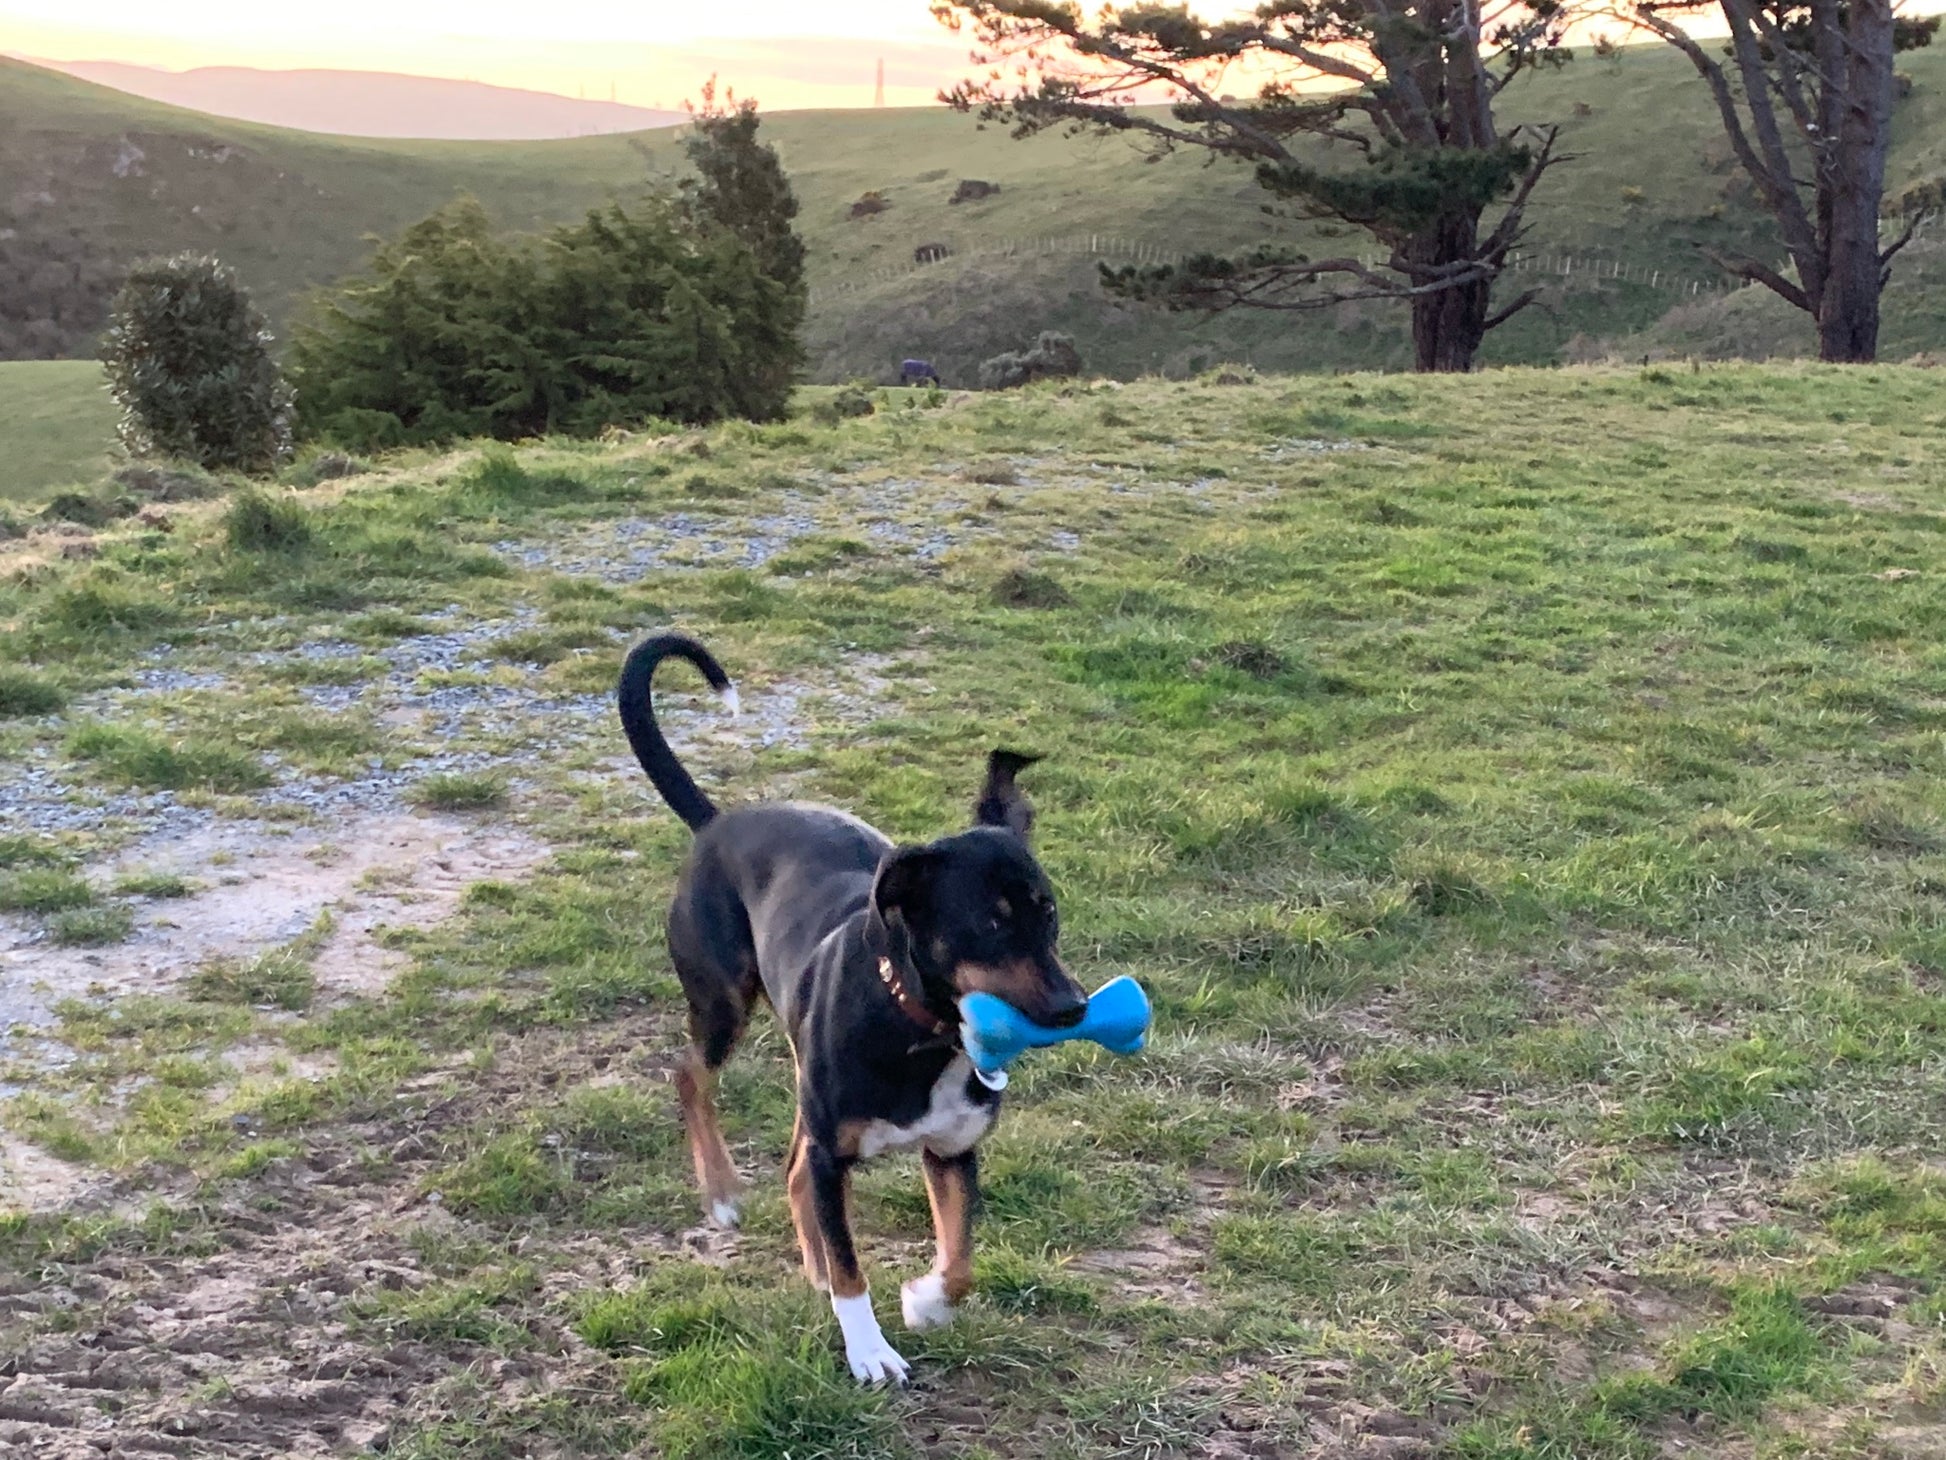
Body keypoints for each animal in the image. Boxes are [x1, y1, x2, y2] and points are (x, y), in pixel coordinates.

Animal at [614, 630, 1089, 1386]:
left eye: (1048, 913)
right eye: (990, 923)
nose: (1075, 1007)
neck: (926, 1035)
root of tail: (718, 822)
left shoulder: (951, 1151)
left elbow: (960, 1260)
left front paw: (925, 1300)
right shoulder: (835, 1155)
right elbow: (850, 1267)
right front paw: (869, 1351)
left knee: (790, 1166)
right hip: (723, 1002)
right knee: (691, 1076)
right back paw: (721, 1192)